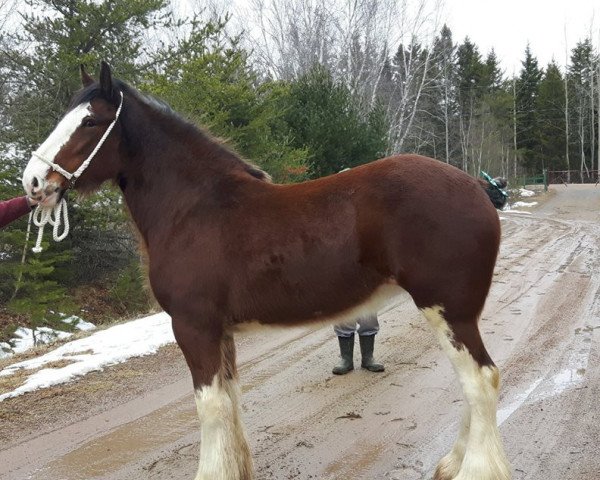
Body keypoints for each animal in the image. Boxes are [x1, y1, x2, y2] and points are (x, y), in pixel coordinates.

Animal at [23, 62, 510, 480]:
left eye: (90, 122)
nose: (32, 182)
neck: (195, 208)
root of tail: (477, 188)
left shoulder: (193, 326)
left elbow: (210, 406)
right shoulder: (220, 332)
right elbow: (230, 400)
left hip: (447, 308)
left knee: (481, 379)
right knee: (473, 381)